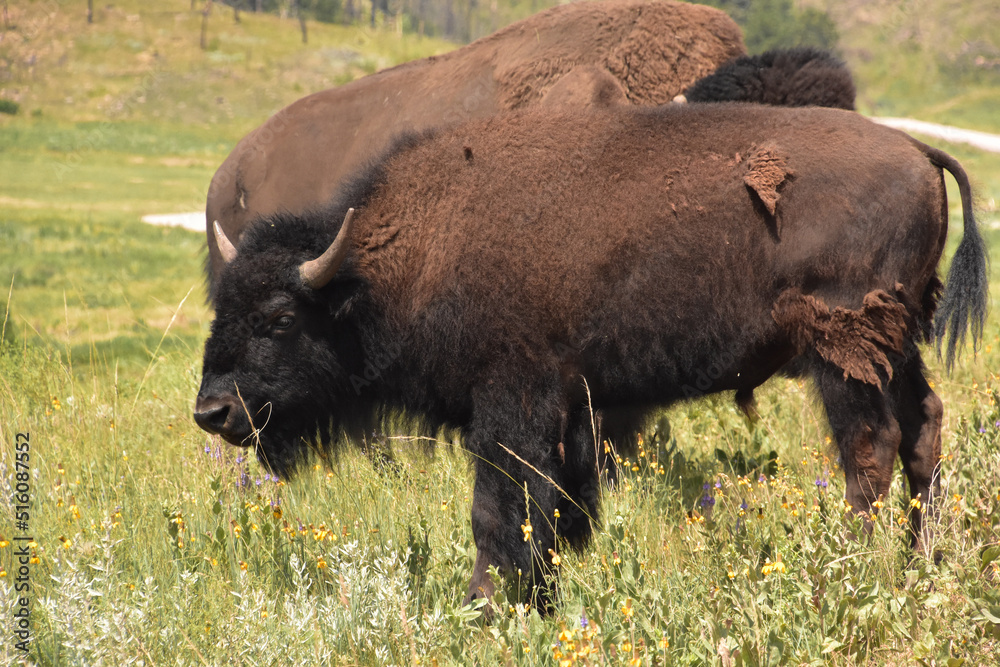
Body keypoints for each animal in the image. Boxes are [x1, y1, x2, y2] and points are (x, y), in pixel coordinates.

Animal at [193, 103, 984, 612]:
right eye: (220, 309)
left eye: (279, 318)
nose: (213, 410)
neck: (386, 265)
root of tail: (919, 152)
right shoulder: (574, 409)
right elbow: (559, 511)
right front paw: (542, 597)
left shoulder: (514, 401)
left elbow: (500, 508)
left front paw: (484, 603)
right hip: (898, 346)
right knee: (922, 429)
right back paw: (923, 565)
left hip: (843, 352)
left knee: (870, 449)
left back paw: (847, 573)